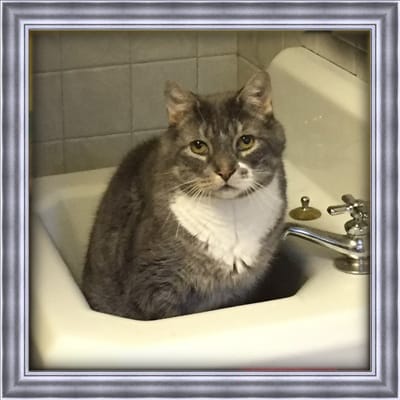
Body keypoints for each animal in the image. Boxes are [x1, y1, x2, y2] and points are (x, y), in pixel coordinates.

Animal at [82, 71, 288, 322]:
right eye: (198, 146)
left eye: (246, 141)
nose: (225, 171)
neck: (231, 215)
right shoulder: (155, 287)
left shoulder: (239, 292)